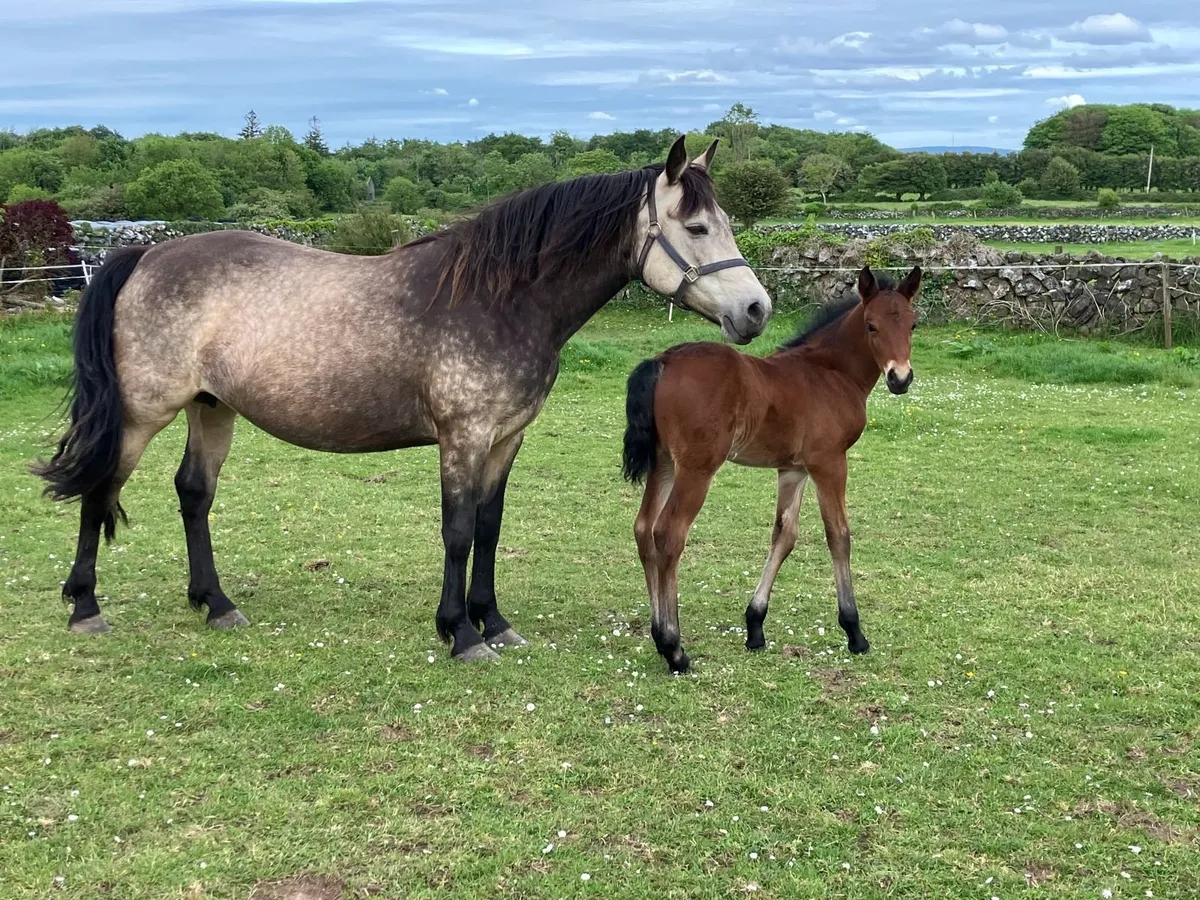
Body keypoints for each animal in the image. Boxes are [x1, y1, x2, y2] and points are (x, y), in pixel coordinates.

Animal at [32, 135, 773, 662]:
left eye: (725, 222)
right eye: (697, 228)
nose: (757, 309)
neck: (500, 300)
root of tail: (145, 257)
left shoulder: (506, 438)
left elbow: (490, 527)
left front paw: (493, 622)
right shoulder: (463, 437)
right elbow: (458, 531)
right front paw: (460, 635)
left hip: (211, 408)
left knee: (193, 494)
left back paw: (215, 603)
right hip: (142, 413)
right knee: (101, 488)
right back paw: (85, 608)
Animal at [621, 264, 921, 674]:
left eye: (912, 324)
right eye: (871, 326)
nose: (900, 378)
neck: (830, 372)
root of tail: (664, 359)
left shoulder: (794, 470)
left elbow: (784, 535)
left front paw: (755, 626)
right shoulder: (829, 462)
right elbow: (838, 535)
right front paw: (854, 631)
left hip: (663, 461)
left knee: (643, 528)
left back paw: (658, 636)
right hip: (697, 467)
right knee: (668, 534)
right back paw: (674, 648)